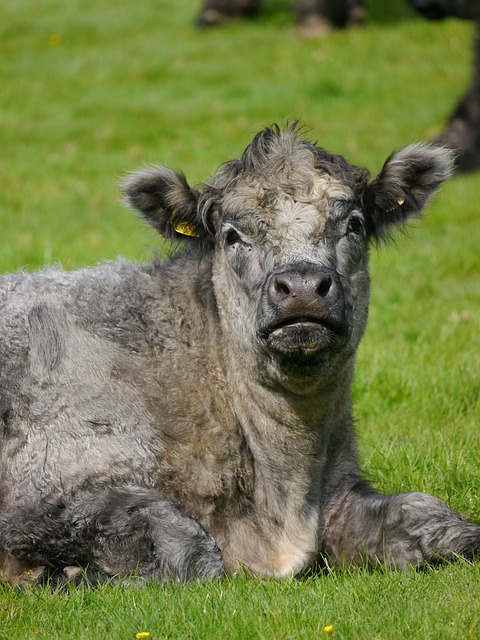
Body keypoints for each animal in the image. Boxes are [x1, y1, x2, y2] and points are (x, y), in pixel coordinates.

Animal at [0, 124, 480, 584]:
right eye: (233, 236)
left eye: (354, 225)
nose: (302, 286)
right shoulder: (40, 493)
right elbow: (188, 548)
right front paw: (65, 575)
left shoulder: (340, 489)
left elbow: (431, 515)